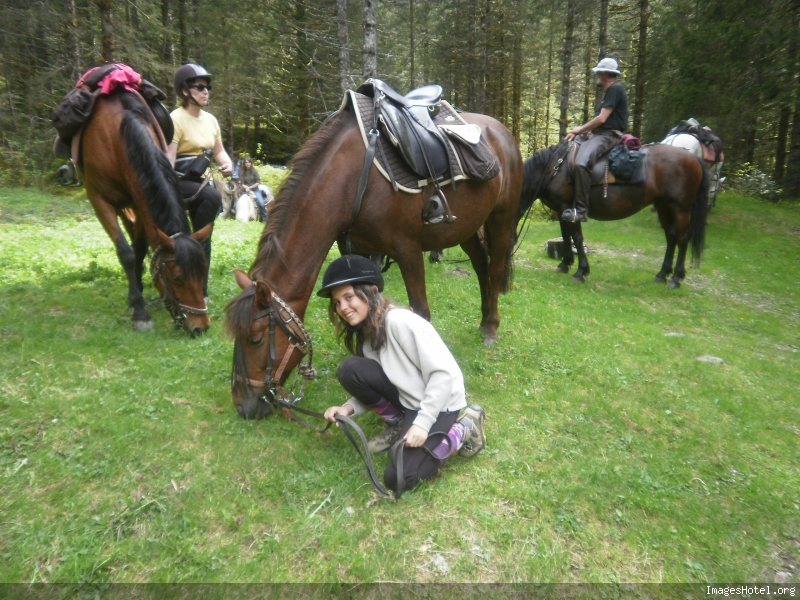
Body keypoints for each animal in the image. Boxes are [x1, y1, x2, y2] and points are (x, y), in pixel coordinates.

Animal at [83, 91, 211, 332]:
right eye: (177, 278)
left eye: (202, 272)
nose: (201, 326)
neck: (117, 137)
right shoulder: (99, 199)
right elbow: (126, 252)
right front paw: (139, 311)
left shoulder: (141, 200)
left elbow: (141, 248)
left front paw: (138, 292)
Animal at [225, 109, 524, 418]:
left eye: (256, 339)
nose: (243, 405)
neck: (353, 179)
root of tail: (502, 131)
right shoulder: (357, 252)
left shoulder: (408, 250)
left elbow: (419, 314)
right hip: (467, 228)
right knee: (481, 267)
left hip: (500, 219)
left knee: (495, 269)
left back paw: (491, 328)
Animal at [520, 143, 708, 288]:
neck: (553, 168)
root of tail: (694, 157)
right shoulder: (561, 210)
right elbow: (566, 236)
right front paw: (565, 264)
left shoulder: (570, 209)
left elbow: (577, 238)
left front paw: (581, 271)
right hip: (664, 206)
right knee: (671, 236)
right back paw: (662, 274)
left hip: (680, 208)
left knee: (683, 238)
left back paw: (676, 278)